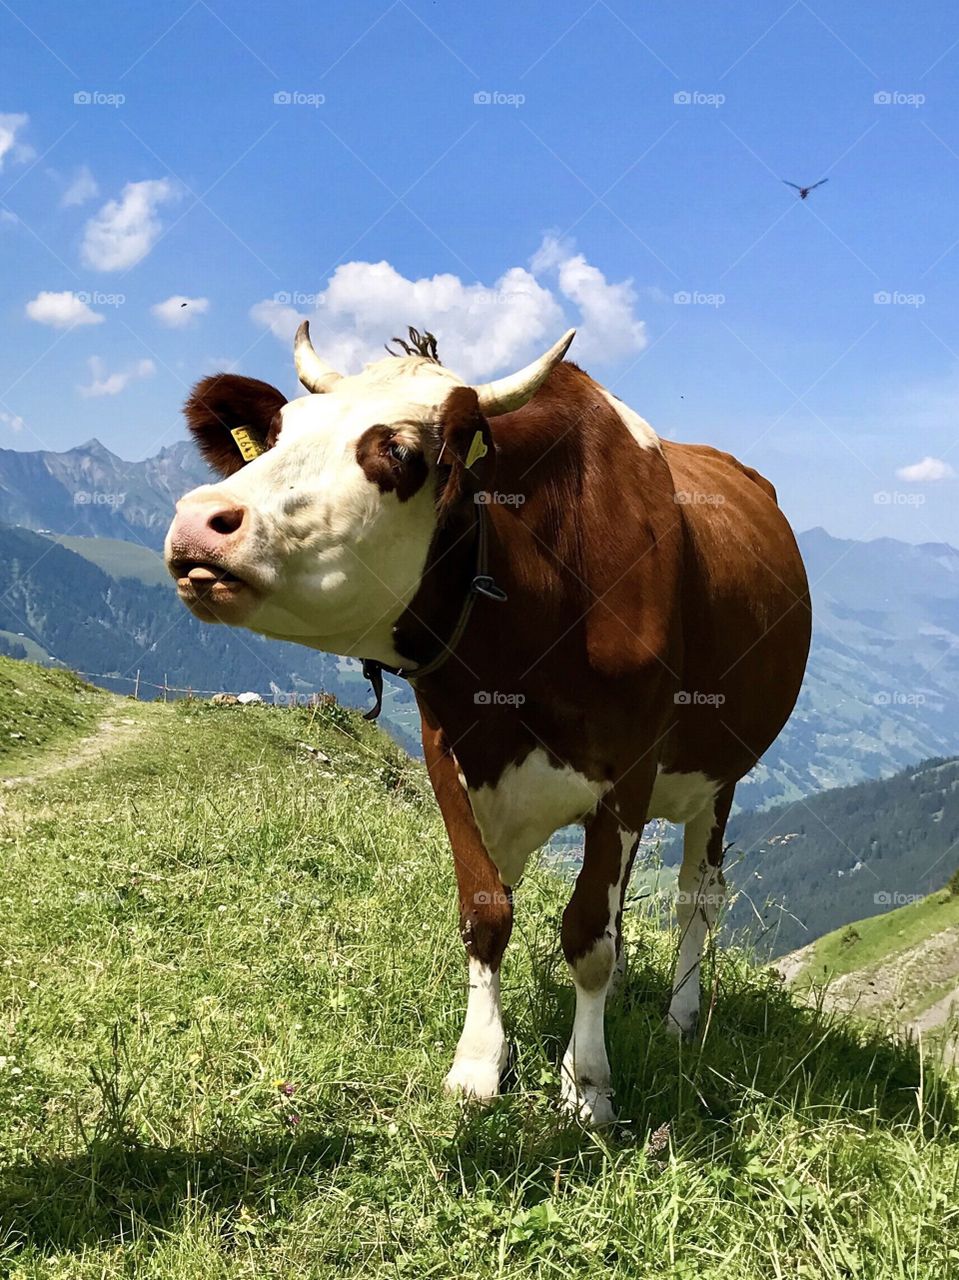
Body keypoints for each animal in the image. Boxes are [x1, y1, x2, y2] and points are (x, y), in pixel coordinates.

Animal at [165, 323, 810, 1125]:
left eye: (396, 452)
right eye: (279, 433)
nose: (200, 520)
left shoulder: (629, 771)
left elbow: (586, 936)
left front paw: (587, 1085)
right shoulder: (450, 753)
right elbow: (488, 913)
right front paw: (477, 1065)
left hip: (720, 777)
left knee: (698, 894)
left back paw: (680, 1017)